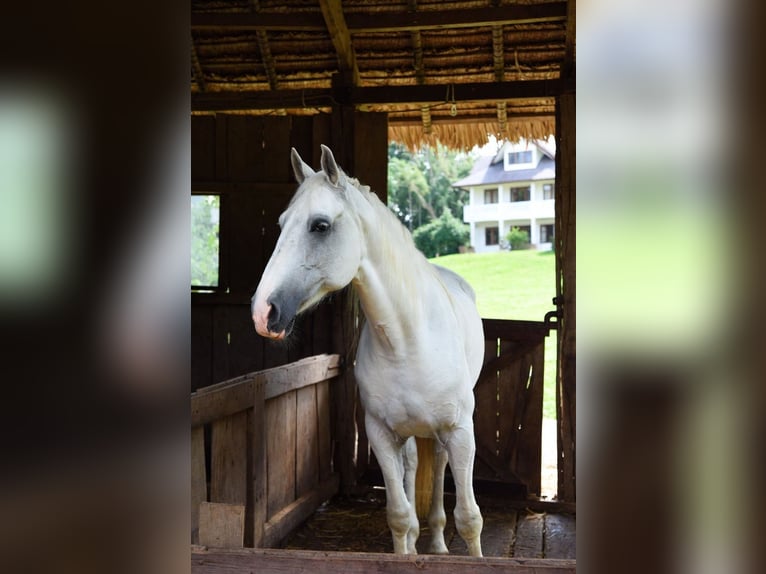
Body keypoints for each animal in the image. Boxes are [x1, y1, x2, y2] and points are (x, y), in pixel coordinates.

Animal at [251, 145, 484, 556]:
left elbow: (470, 519)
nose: (264, 312)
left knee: (439, 466)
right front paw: (407, 546)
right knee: (412, 468)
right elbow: (399, 515)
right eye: (281, 224)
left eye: (320, 225)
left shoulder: (459, 431)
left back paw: (439, 544)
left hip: (444, 435)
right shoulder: (380, 435)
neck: (407, 341)